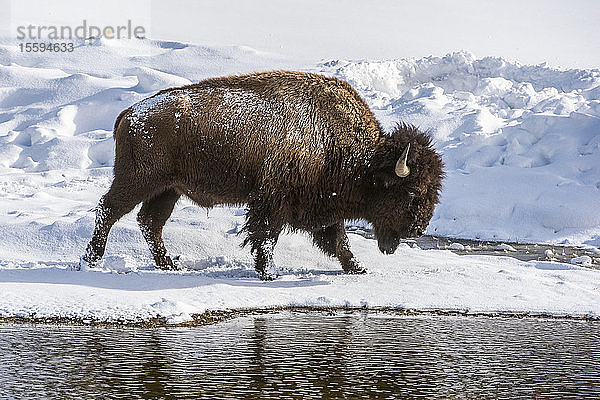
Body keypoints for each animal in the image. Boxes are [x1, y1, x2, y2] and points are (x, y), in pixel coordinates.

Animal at [81, 70, 440, 280]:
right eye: (412, 191)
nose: (417, 229)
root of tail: (129, 114)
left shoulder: (321, 207)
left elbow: (338, 240)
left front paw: (358, 268)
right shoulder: (272, 201)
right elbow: (267, 237)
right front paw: (269, 273)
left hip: (168, 189)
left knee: (149, 222)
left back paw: (170, 265)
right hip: (139, 180)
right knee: (109, 211)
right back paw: (91, 262)